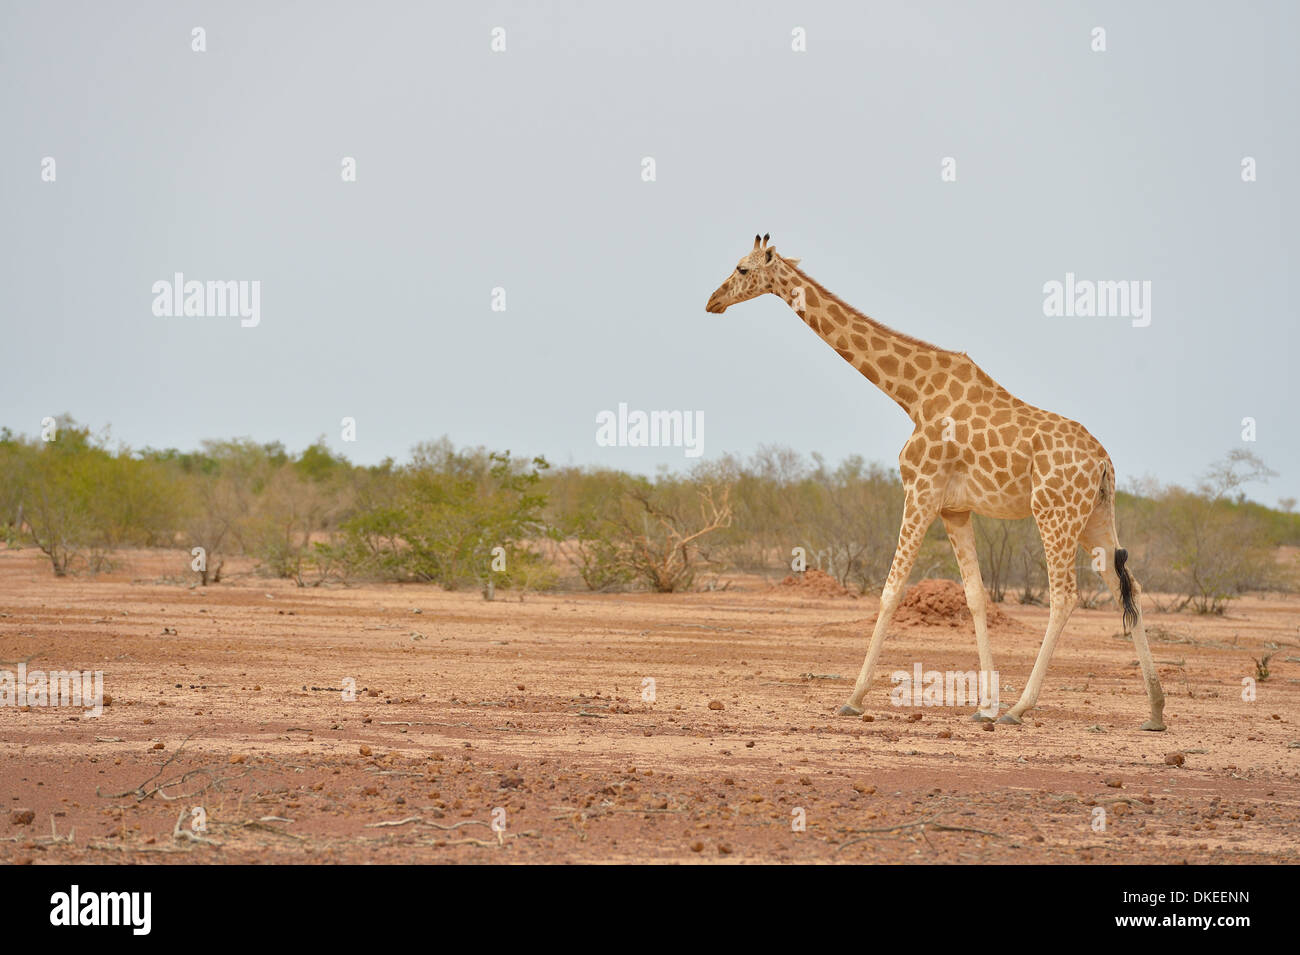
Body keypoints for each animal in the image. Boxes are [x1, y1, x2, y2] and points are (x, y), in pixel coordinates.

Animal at [712, 235, 1170, 727]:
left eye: (741, 269)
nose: (712, 301)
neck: (911, 394)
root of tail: (1104, 461)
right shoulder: (955, 509)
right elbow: (974, 596)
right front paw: (984, 705)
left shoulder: (921, 490)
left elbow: (891, 590)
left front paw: (854, 697)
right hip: (1093, 518)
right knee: (1127, 585)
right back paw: (1155, 710)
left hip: (1054, 513)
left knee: (1065, 596)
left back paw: (1021, 707)